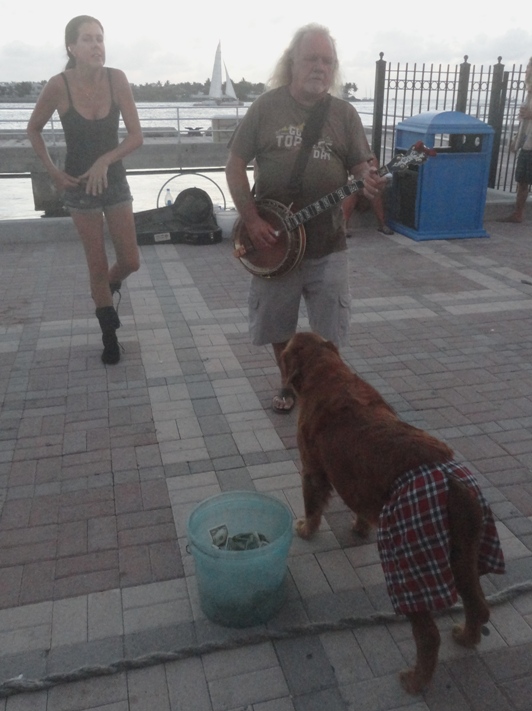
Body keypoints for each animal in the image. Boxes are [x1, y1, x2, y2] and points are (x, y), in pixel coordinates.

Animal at [281, 332, 505, 694]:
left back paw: (415, 681)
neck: (329, 373)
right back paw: (466, 637)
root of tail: (452, 483)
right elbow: (360, 509)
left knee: (428, 635)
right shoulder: (358, 484)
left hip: (411, 566)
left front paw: (304, 528)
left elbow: (312, 504)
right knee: (479, 608)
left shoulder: (313, 468)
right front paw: (359, 529)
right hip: (464, 556)